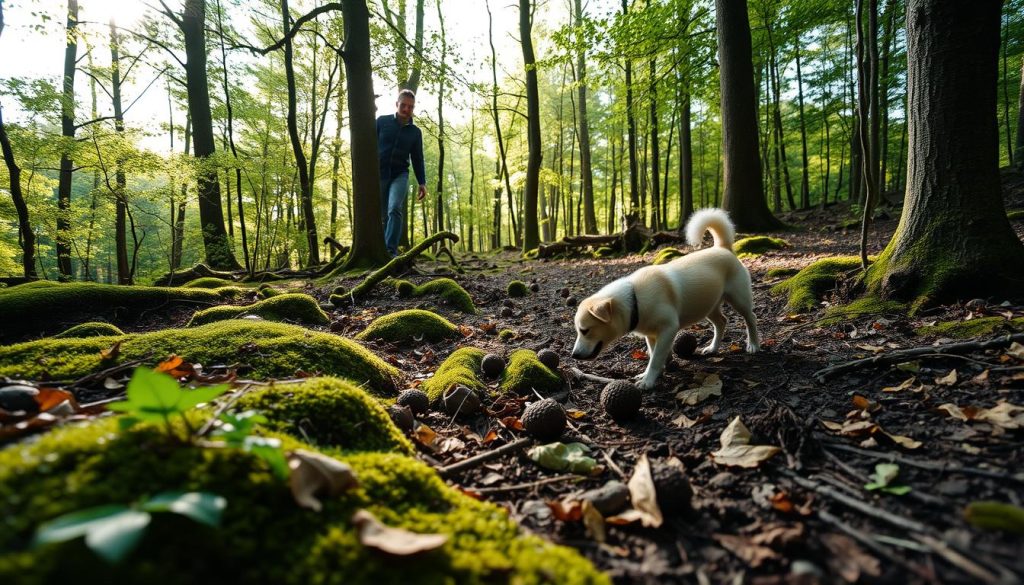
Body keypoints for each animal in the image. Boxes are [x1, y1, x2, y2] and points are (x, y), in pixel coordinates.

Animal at [569, 207, 761, 391]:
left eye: (584, 330)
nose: (573, 355)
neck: (635, 299)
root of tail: (723, 248)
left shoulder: (669, 329)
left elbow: (655, 358)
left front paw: (648, 380)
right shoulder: (651, 335)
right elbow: (654, 354)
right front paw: (653, 373)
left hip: (738, 299)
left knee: (751, 318)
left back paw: (753, 345)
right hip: (708, 306)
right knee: (722, 322)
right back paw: (713, 348)